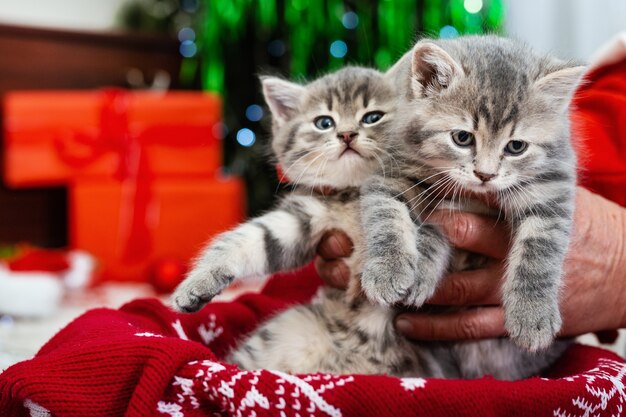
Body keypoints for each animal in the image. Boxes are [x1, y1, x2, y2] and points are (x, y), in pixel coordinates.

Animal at [171, 60, 564, 378]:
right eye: (323, 122)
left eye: (372, 117)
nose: (346, 134)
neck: (355, 192)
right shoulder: (306, 216)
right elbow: (249, 239)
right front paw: (196, 283)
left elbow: (434, 232)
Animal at [358, 36, 584, 352]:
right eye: (462, 138)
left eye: (516, 147)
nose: (485, 175)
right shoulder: (391, 169)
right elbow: (386, 215)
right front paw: (388, 270)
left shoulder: (552, 185)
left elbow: (541, 250)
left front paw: (532, 313)